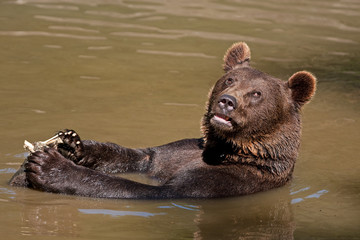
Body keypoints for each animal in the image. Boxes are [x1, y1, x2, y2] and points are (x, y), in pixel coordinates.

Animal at [9, 42, 316, 199]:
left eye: (256, 94)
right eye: (230, 80)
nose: (227, 101)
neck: (225, 148)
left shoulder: (227, 178)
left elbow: (157, 191)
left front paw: (51, 166)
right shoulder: (177, 152)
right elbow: (141, 156)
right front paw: (72, 143)